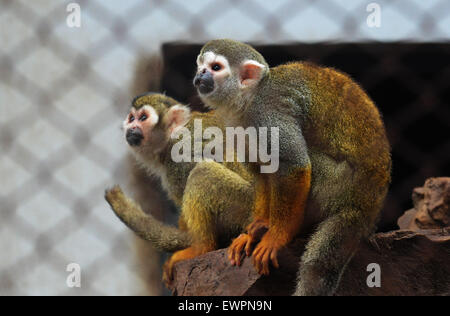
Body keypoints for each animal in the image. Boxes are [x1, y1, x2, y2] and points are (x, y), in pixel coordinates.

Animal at [103, 93, 256, 282]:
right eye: (131, 118)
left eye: (143, 118)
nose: (131, 128)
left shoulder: (178, 159)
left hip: (246, 204)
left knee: (201, 173)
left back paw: (202, 248)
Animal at [193, 40, 390, 296]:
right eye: (200, 65)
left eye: (215, 67)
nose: (200, 75)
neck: (248, 99)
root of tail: (368, 205)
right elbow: (260, 171)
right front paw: (257, 226)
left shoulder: (269, 113)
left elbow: (294, 165)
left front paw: (277, 235)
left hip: (341, 184)